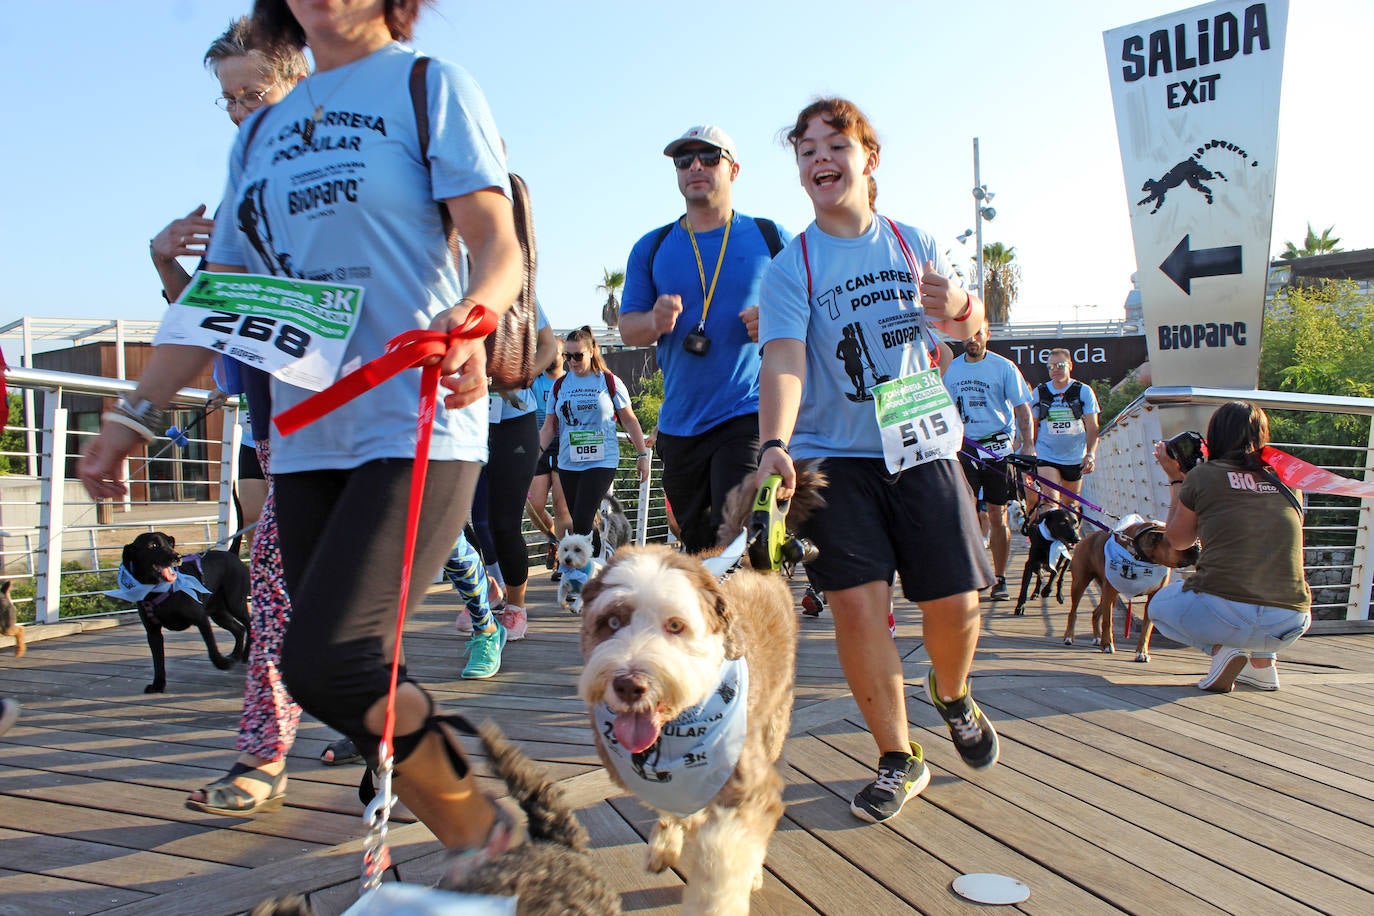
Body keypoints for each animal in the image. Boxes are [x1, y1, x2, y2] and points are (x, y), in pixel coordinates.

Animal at [116, 530, 251, 694]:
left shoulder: (201, 618)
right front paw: (158, 685)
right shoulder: (153, 632)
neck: (157, 590)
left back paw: (246, 653)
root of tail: (231, 554)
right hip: (219, 613)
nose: (177, 556)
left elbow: (212, 648)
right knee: (239, 629)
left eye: (170, 543)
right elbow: (158, 661)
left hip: (235, 603)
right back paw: (236, 655)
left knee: (250, 624)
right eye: (153, 545)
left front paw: (222, 663)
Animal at [574, 469, 818, 911]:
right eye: (612, 622)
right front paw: (667, 842)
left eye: (675, 625)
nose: (630, 684)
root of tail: (747, 555)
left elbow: (724, 861)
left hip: (774, 720)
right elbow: (679, 806)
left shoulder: (748, 786)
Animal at [1066, 519, 1198, 661]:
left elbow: (1146, 629)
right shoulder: (1109, 591)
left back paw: (1097, 637)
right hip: (1081, 584)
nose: (1198, 546)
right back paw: (1069, 637)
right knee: (1073, 612)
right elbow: (1108, 622)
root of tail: (1087, 538)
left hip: (1110, 596)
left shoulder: (1150, 597)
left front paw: (1142, 652)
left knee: (1096, 613)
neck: (1145, 559)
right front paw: (1107, 645)